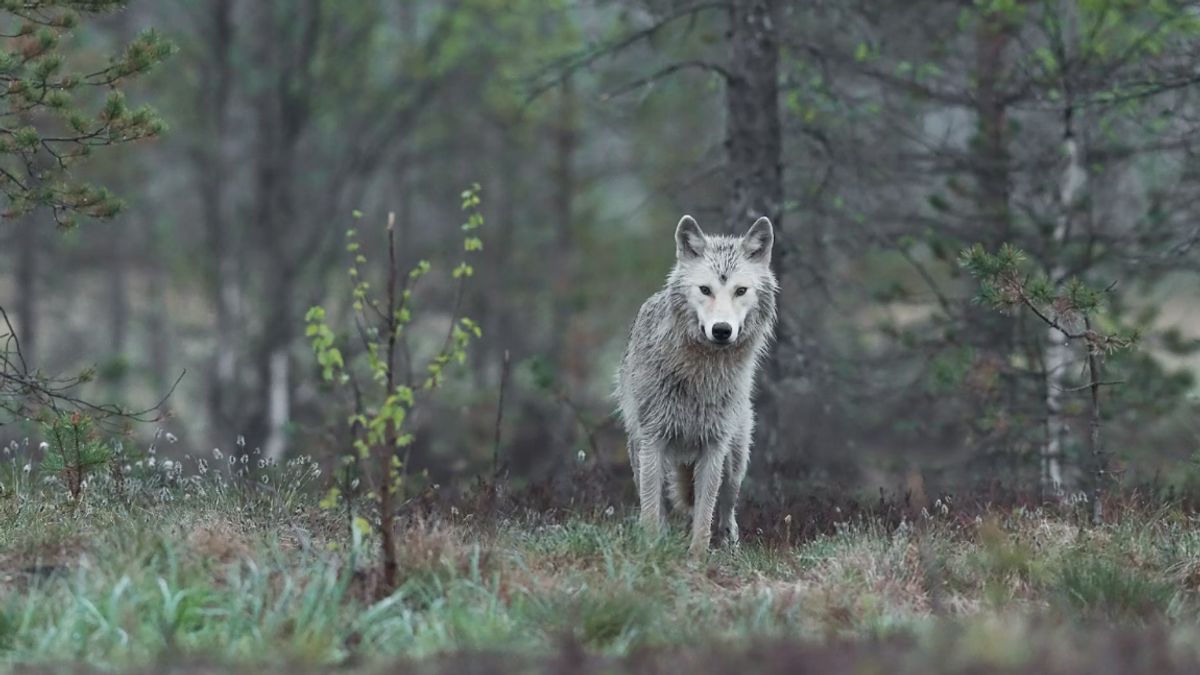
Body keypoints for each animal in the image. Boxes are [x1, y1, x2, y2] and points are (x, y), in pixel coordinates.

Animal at [619, 213, 777, 552]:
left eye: (740, 291)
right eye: (705, 289)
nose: (721, 330)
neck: (700, 376)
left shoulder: (714, 447)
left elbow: (704, 516)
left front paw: (697, 557)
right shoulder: (653, 442)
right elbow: (652, 512)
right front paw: (651, 552)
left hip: (735, 462)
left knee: (726, 512)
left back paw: (730, 548)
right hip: (639, 451)